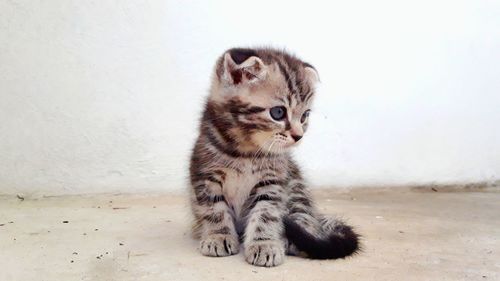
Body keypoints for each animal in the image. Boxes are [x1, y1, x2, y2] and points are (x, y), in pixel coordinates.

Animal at [188, 47, 360, 266]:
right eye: (278, 112)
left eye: (304, 116)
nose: (298, 136)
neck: (246, 152)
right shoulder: (204, 174)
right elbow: (214, 209)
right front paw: (218, 236)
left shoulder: (272, 181)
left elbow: (266, 213)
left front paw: (264, 244)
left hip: (296, 188)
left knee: (304, 217)